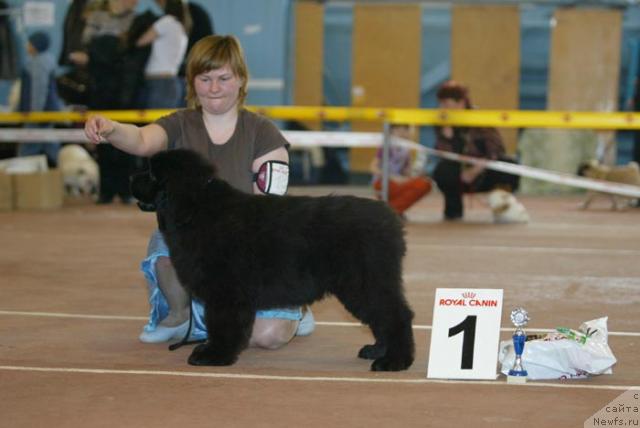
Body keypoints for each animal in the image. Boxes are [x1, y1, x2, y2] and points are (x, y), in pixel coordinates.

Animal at [131, 149, 416, 370]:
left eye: (152, 174)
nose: (131, 176)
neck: (196, 209)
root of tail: (390, 220)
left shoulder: (225, 293)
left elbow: (222, 326)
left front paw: (214, 355)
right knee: (382, 318)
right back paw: (377, 350)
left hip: (364, 282)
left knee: (395, 315)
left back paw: (394, 361)